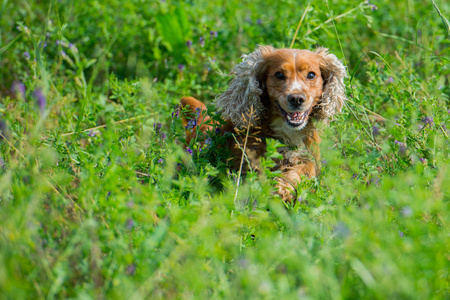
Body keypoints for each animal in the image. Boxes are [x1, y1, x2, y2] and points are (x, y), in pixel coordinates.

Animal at [181, 46, 346, 202]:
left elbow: (307, 169)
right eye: (279, 75)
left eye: (311, 74)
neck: (287, 132)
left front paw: (284, 185)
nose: (296, 98)